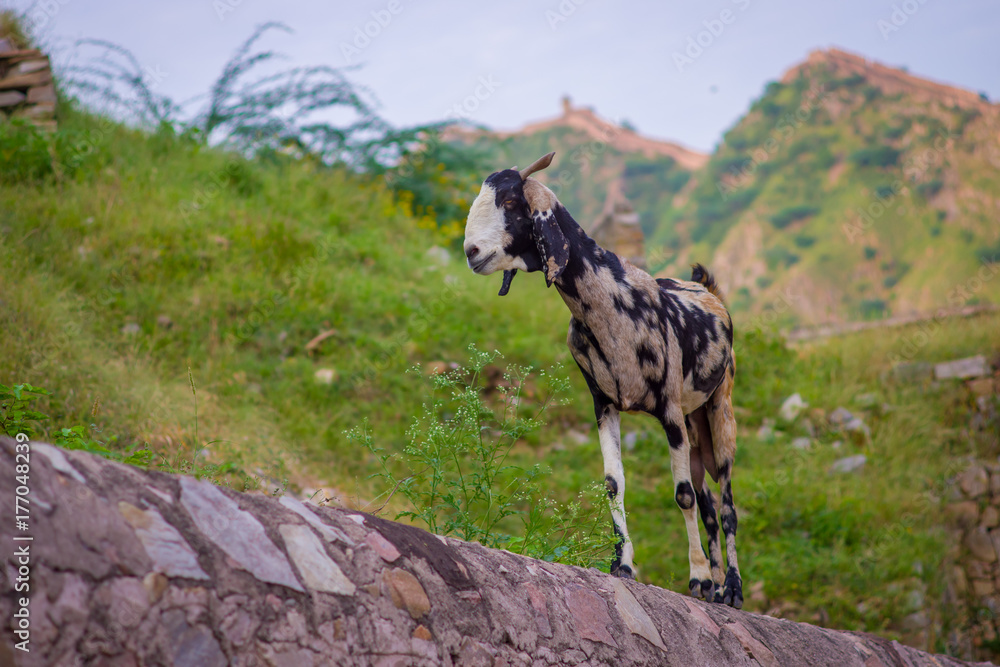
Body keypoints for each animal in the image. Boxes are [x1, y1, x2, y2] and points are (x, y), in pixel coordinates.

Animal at [463, 152, 743, 607]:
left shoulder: (668, 410)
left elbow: (680, 493)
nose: (471, 252)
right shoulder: (604, 403)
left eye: (510, 201)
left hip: (720, 409)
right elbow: (614, 485)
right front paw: (623, 566)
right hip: (695, 422)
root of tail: (707, 290)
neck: (612, 303)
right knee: (709, 506)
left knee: (728, 503)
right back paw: (717, 590)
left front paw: (697, 577)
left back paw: (730, 586)